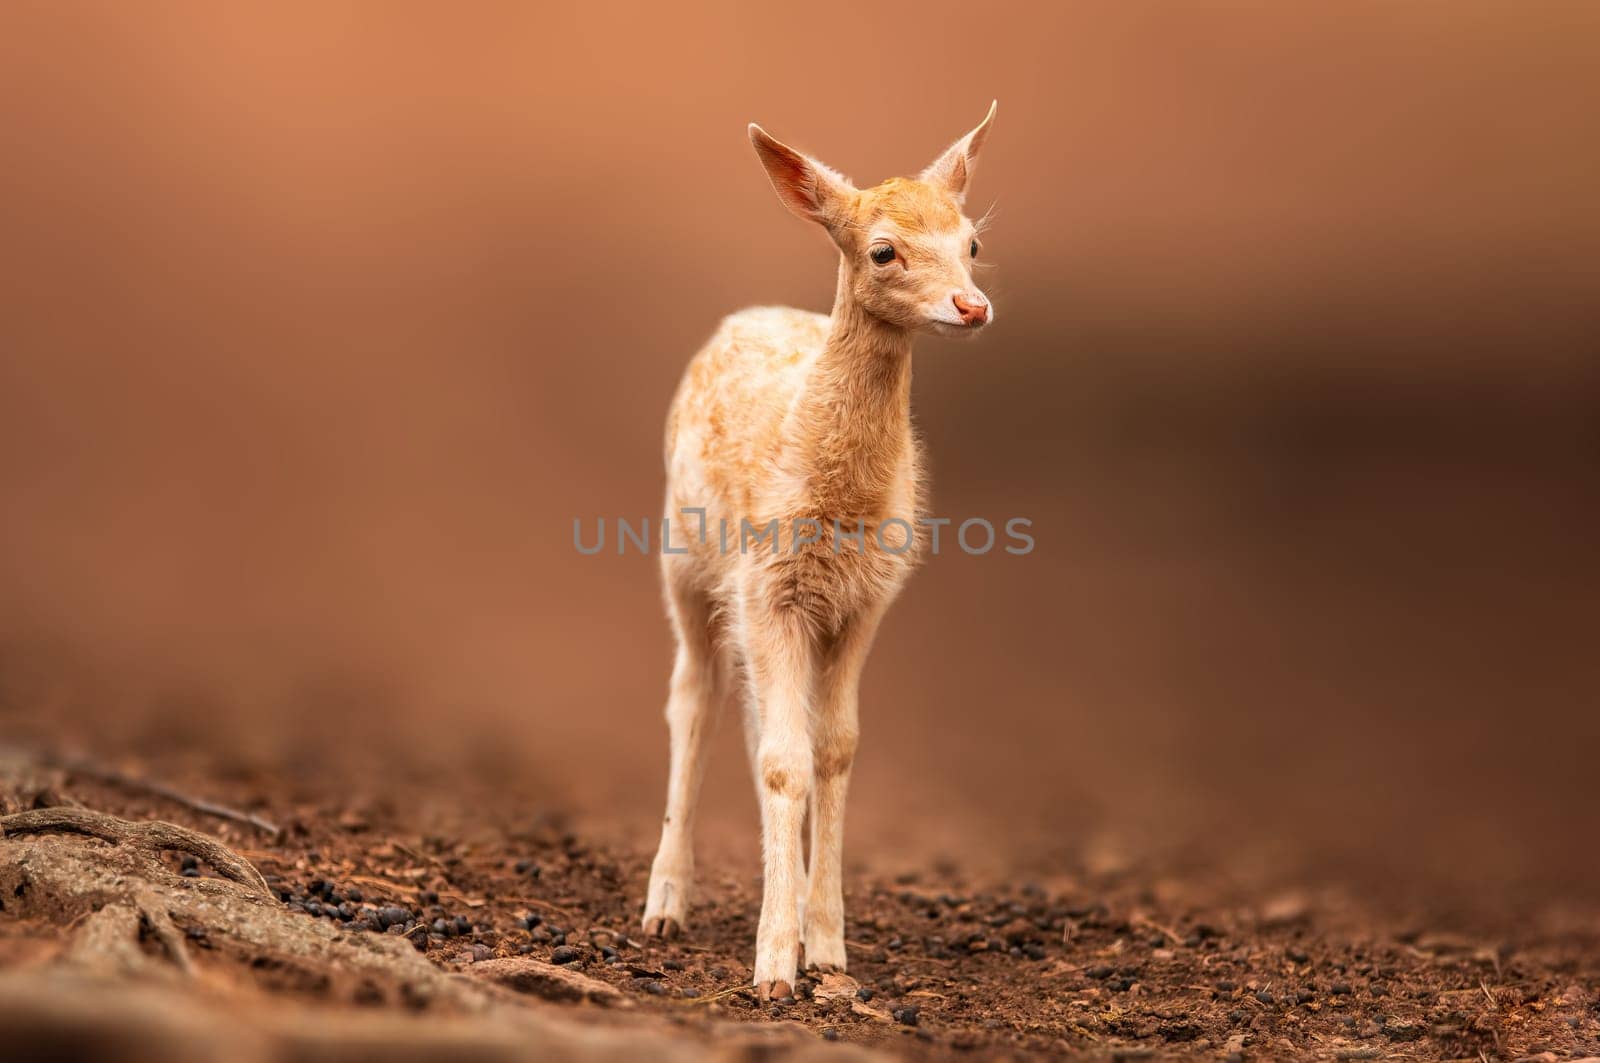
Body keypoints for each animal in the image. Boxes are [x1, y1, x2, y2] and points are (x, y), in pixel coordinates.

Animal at [640, 104, 998, 998]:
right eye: (883, 250)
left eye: (972, 241)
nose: (972, 306)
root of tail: (742, 316)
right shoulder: (769, 584)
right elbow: (783, 762)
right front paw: (773, 968)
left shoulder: (865, 598)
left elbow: (832, 750)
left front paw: (828, 947)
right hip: (684, 563)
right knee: (693, 697)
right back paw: (664, 904)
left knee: (759, 719)